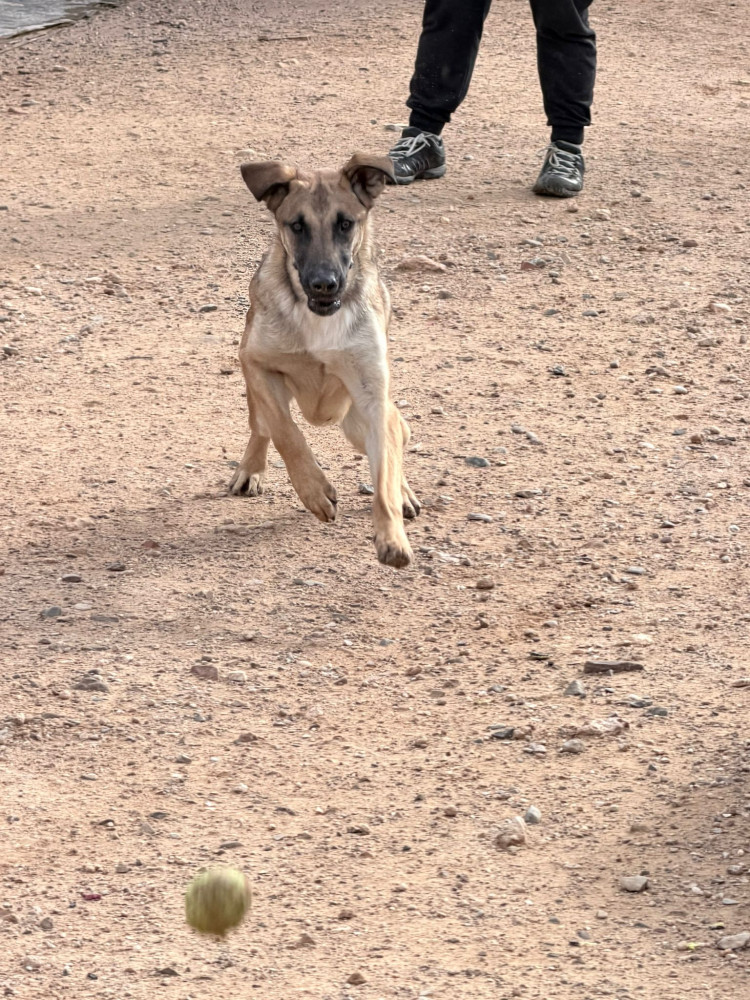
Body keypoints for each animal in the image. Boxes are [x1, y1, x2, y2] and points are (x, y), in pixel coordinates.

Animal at [229, 153, 420, 568]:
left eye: (345, 223)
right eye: (297, 226)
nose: (323, 283)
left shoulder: (372, 398)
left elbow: (383, 478)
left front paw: (392, 537)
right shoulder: (256, 363)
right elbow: (286, 432)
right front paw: (315, 491)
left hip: (359, 422)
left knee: (395, 440)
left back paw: (404, 492)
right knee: (262, 426)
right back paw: (250, 469)